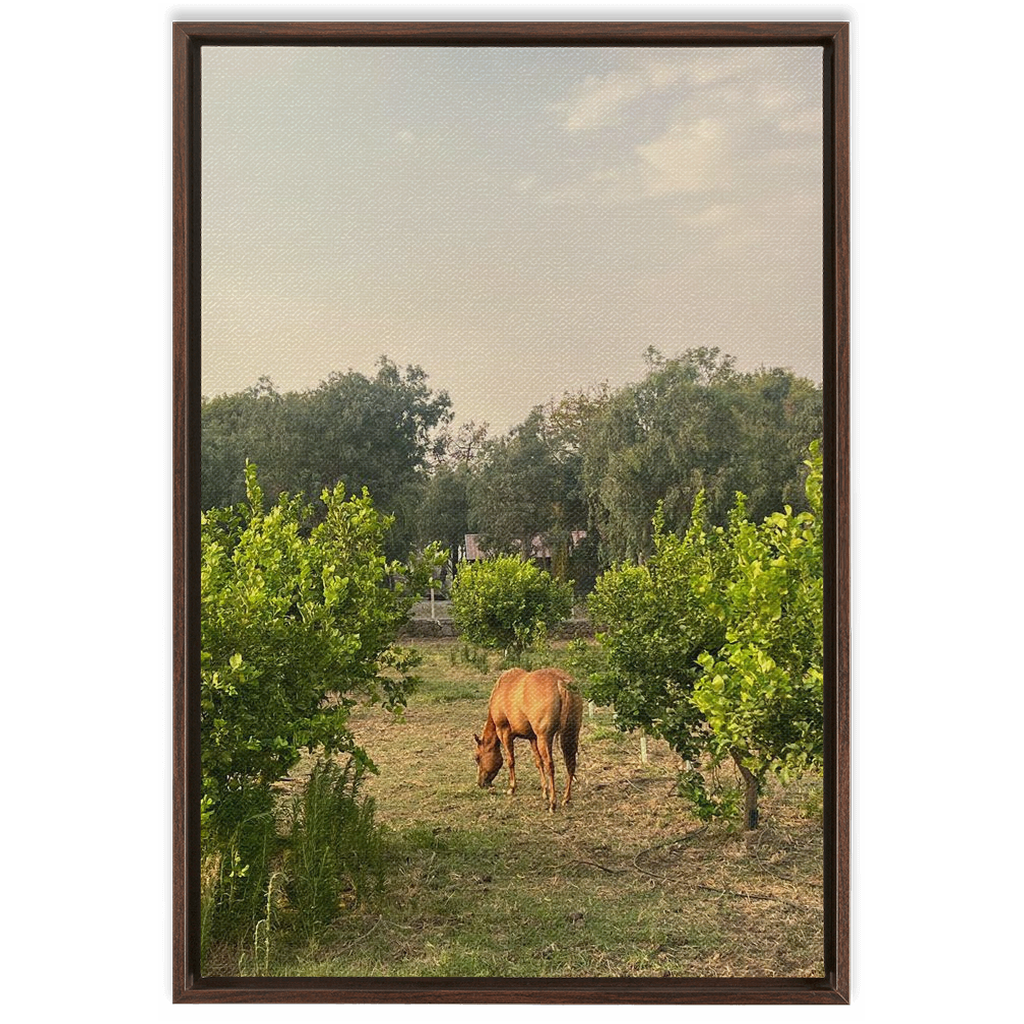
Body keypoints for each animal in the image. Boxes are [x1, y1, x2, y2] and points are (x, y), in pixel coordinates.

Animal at [473, 667, 585, 811]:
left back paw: (553, 803)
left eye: (477, 758)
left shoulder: (504, 732)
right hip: (570, 735)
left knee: (550, 766)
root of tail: (561, 682)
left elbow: (511, 761)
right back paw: (566, 798)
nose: (481, 783)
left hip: (545, 738)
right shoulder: (532, 738)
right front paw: (544, 791)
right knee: (570, 764)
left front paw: (512, 788)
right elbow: (538, 762)